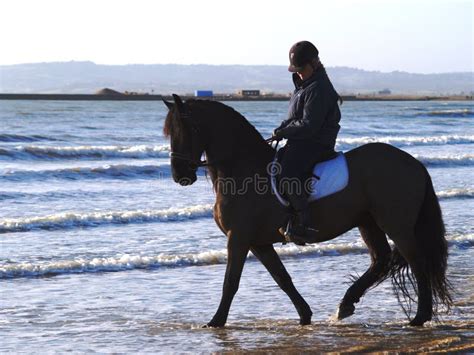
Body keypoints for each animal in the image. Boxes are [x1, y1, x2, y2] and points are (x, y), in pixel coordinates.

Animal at [163, 94, 452, 328]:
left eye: (187, 129)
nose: (179, 175)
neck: (242, 168)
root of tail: (414, 163)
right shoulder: (259, 242)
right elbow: (282, 278)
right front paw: (305, 315)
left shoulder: (239, 237)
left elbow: (230, 281)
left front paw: (216, 322)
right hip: (367, 221)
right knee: (381, 260)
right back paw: (346, 304)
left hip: (395, 224)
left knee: (417, 262)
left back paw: (419, 317)